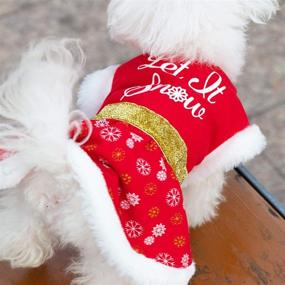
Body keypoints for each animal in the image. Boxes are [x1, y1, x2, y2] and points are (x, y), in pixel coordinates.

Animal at [0, 0, 278, 284]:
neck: (188, 52)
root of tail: (64, 175)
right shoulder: (221, 143)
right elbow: (202, 194)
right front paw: (198, 216)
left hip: (25, 201)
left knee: (19, 228)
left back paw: (24, 250)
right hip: (123, 247)